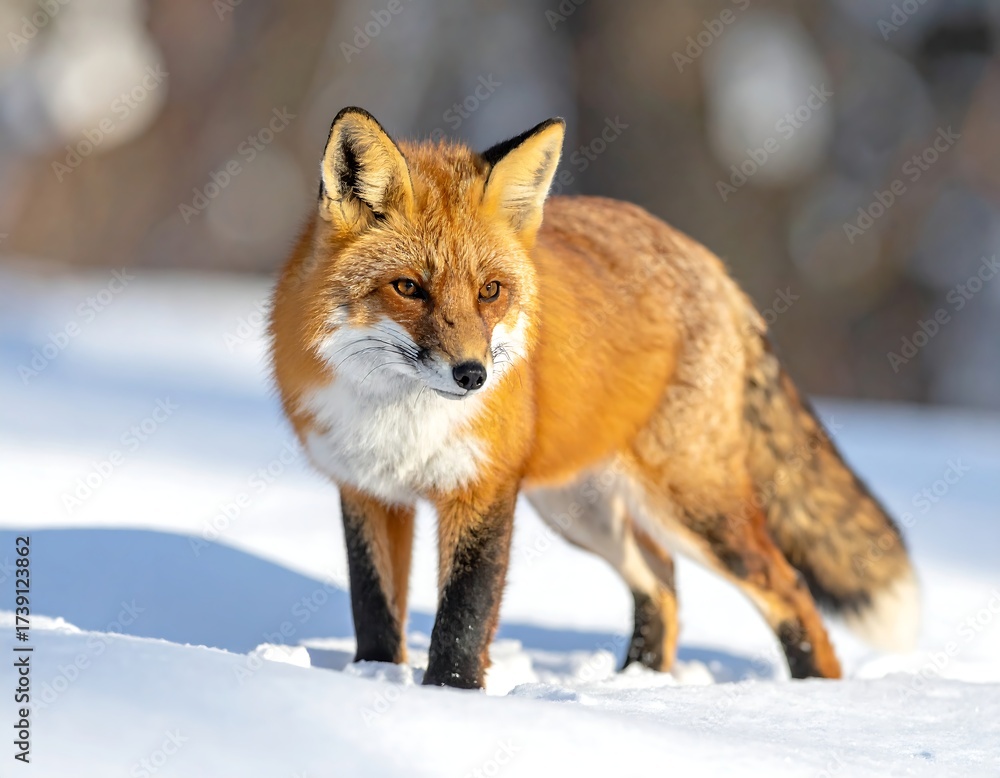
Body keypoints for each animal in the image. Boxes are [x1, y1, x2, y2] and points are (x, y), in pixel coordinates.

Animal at [268, 107, 919, 689]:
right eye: (408, 288)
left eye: (490, 292)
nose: (473, 375)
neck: (400, 422)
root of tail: (713, 267)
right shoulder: (367, 490)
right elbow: (375, 611)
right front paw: (374, 680)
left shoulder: (483, 489)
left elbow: (464, 619)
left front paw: (449, 698)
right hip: (582, 511)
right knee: (662, 582)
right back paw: (636, 685)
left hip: (691, 509)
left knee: (786, 586)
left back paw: (814, 695)